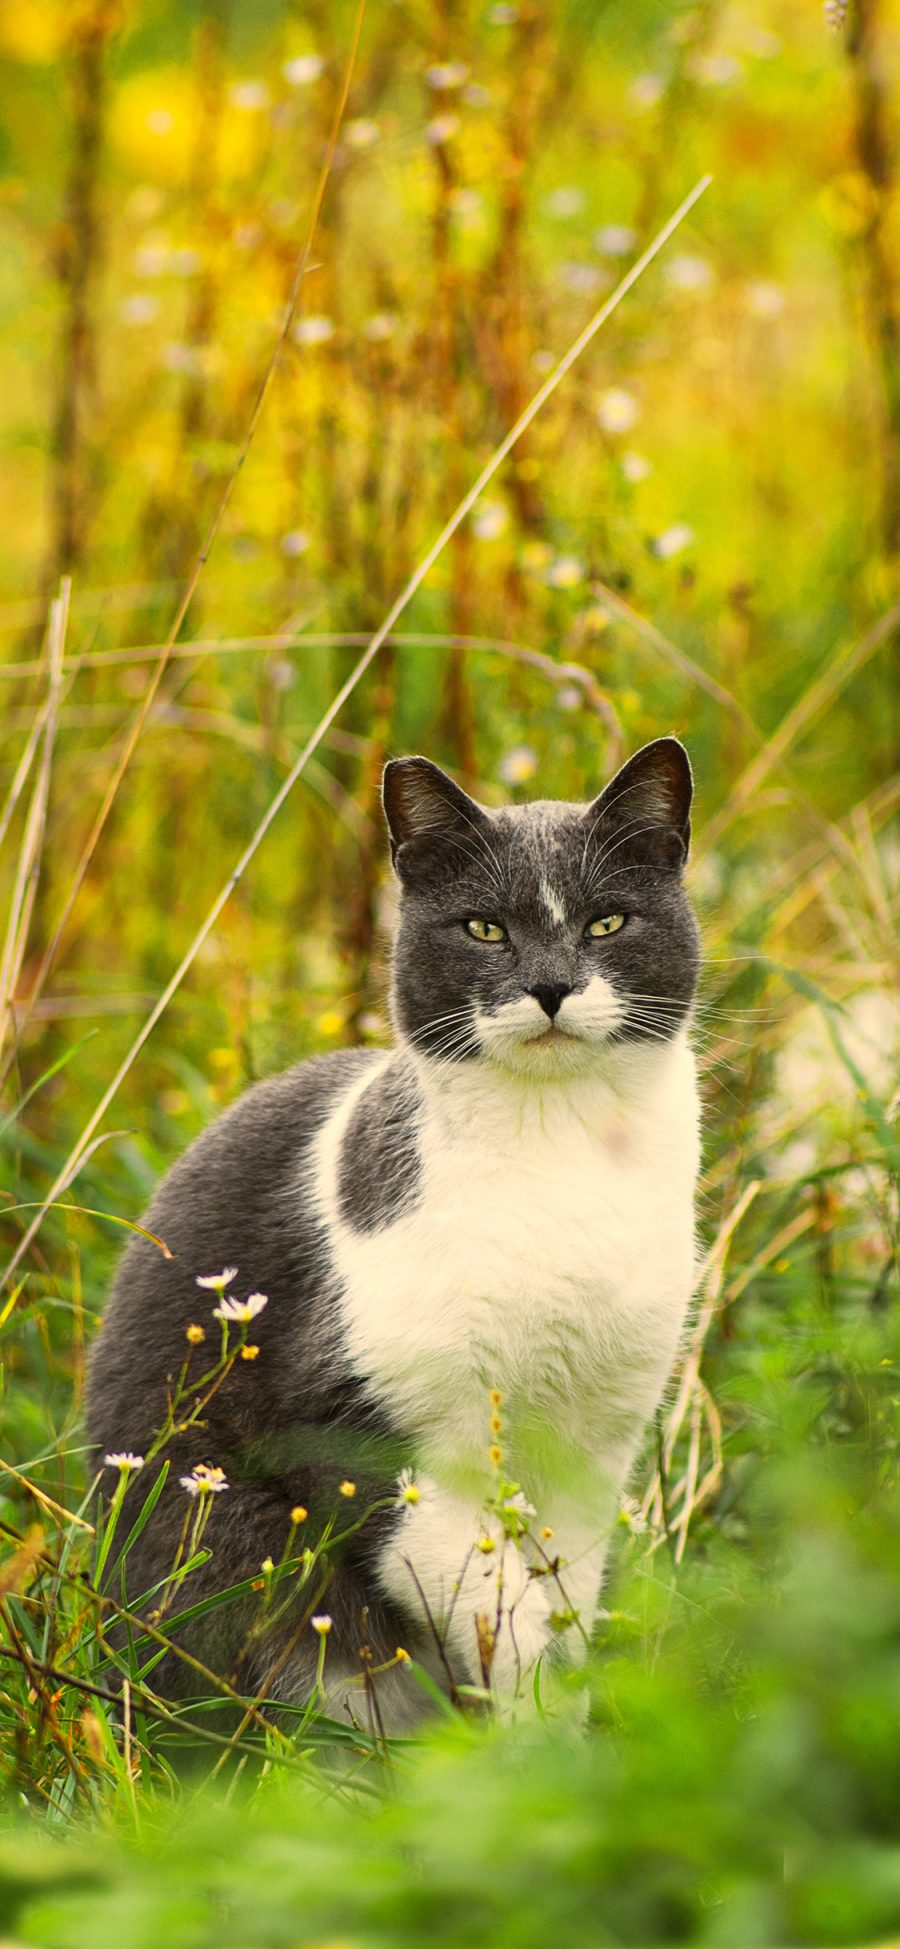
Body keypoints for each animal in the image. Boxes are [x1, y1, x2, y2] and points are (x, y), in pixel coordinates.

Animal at [86, 732, 701, 1738]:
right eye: (484, 929)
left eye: (607, 922)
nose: (551, 985)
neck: (557, 1146)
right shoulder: (345, 1432)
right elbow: (499, 1600)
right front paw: (530, 1743)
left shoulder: (593, 1446)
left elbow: (562, 1598)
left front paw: (565, 1742)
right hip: (226, 1558)